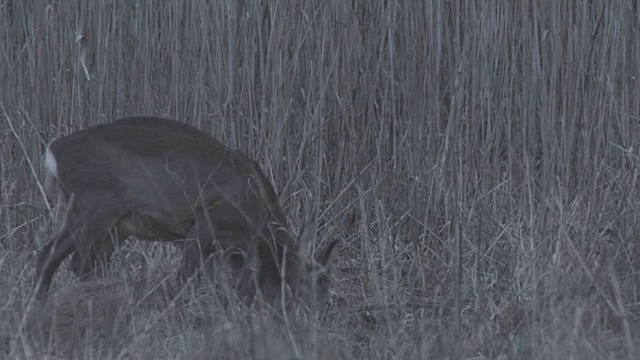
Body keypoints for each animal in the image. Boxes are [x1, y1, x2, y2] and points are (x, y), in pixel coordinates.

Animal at [33, 116, 340, 310]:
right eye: (311, 283)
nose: (315, 316)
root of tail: (52, 153)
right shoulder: (206, 222)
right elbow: (187, 276)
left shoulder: (226, 247)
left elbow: (227, 284)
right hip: (100, 205)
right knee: (81, 263)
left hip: (89, 215)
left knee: (49, 254)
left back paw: (38, 305)